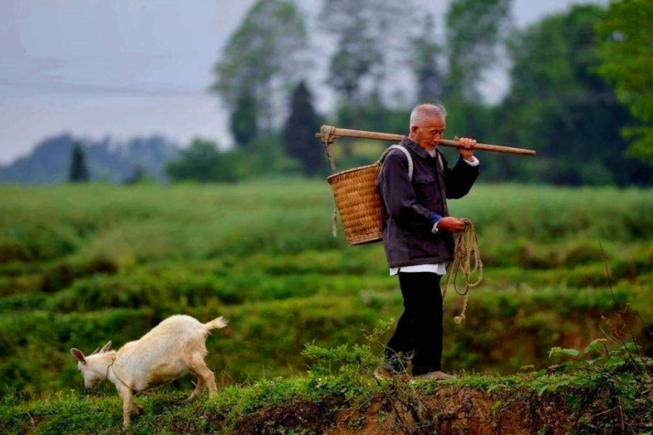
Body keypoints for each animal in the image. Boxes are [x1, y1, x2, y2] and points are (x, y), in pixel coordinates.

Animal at [71, 316, 227, 430]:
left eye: (80, 370)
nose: (88, 388)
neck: (111, 365)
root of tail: (202, 327)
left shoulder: (124, 386)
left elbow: (125, 406)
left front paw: (125, 427)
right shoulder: (130, 388)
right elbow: (128, 402)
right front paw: (139, 409)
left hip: (192, 356)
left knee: (208, 375)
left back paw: (213, 399)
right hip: (192, 360)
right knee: (201, 377)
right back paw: (192, 398)